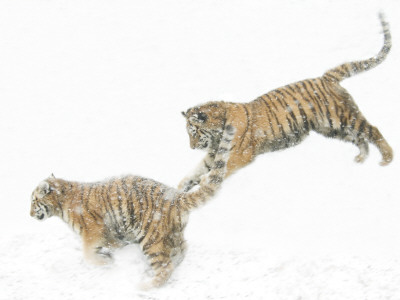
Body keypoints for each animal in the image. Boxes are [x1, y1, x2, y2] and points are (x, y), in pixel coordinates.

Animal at [31, 125, 236, 288]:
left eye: (33, 201)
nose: (30, 214)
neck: (61, 203)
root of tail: (176, 196)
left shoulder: (93, 232)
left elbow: (88, 255)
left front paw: (106, 263)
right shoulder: (110, 233)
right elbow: (113, 245)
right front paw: (111, 256)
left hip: (152, 238)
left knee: (165, 267)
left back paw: (145, 286)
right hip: (172, 235)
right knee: (181, 251)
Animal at [180, 12, 392, 191]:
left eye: (194, 132)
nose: (192, 147)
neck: (217, 135)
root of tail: (326, 77)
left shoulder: (239, 154)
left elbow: (220, 170)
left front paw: (205, 182)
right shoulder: (214, 154)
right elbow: (194, 172)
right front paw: (180, 189)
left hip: (343, 117)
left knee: (372, 130)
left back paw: (387, 159)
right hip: (332, 128)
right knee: (360, 138)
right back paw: (361, 158)